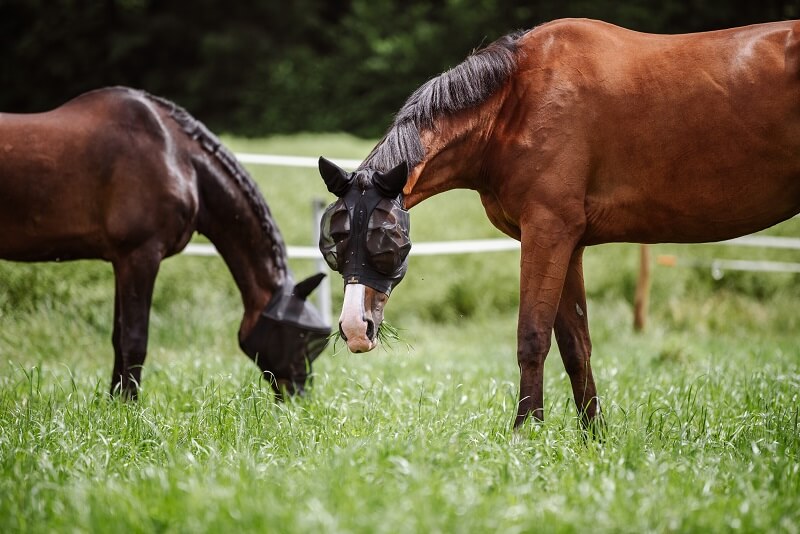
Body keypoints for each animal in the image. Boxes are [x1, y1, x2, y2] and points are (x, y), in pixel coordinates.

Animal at [0, 86, 332, 400]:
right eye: (303, 336)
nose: (300, 393)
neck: (177, 157)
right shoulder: (140, 255)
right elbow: (135, 339)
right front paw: (129, 406)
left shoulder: (122, 260)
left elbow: (119, 336)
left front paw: (114, 402)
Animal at [318, 17, 800, 432]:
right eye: (335, 241)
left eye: (391, 239)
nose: (355, 328)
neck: (516, 103)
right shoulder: (569, 243)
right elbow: (576, 347)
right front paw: (593, 439)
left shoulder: (548, 233)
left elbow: (532, 337)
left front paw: (525, 434)